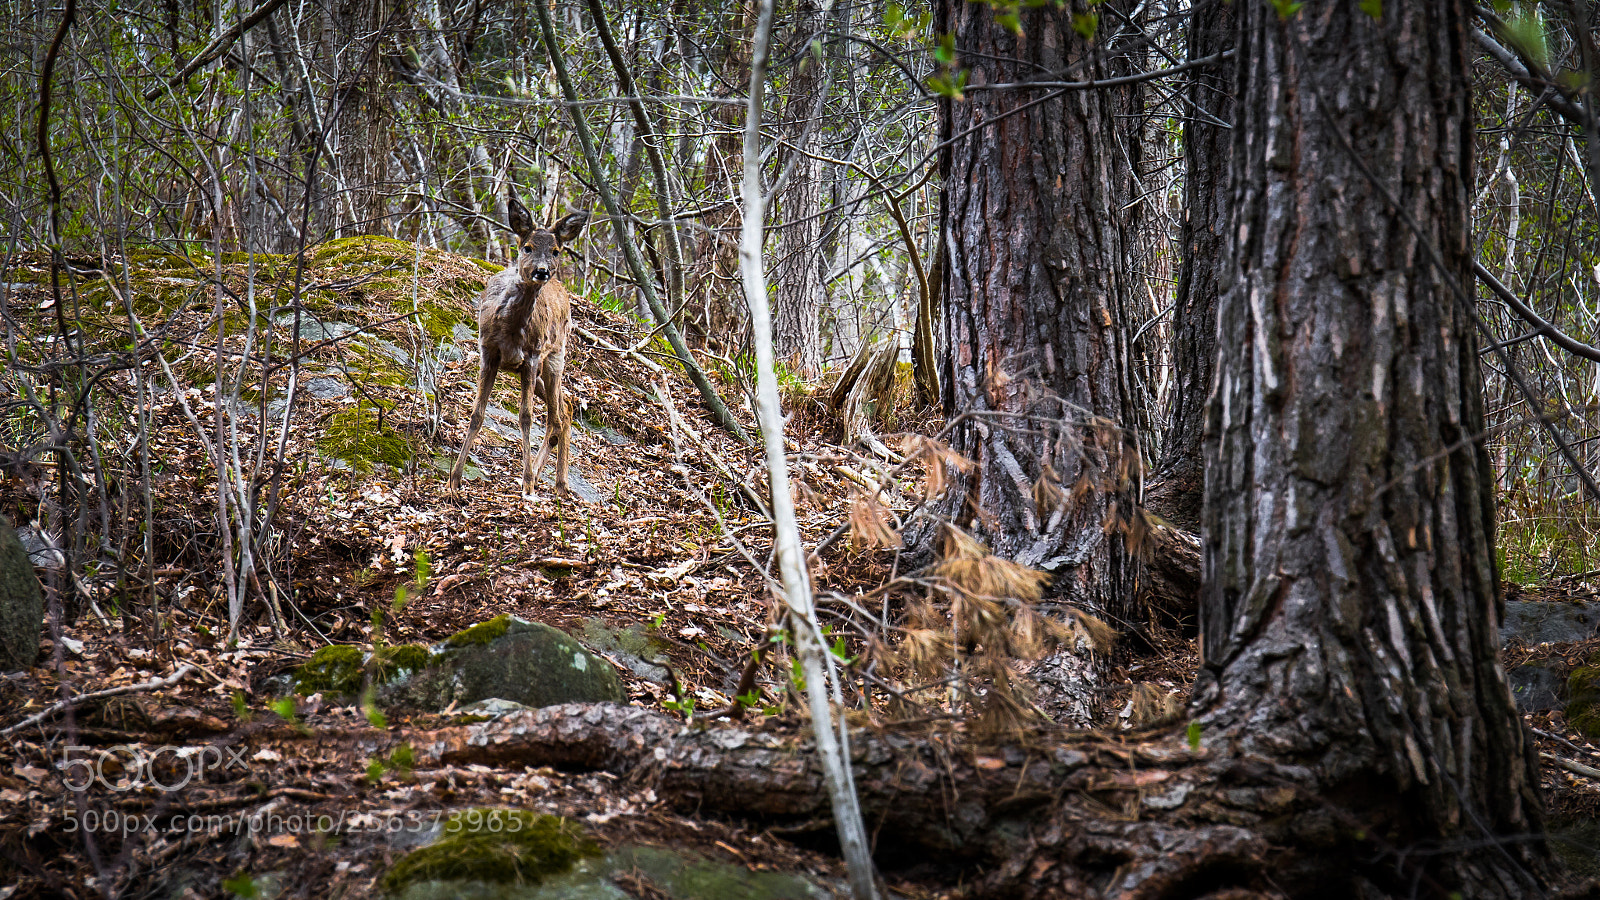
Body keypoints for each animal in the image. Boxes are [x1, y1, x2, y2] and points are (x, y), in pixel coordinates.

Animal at [448, 196, 590, 498]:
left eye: (556, 251)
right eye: (528, 247)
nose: (541, 271)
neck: (510, 329)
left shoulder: (532, 356)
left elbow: (525, 417)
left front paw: (526, 483)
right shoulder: (488, 352)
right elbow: (477, 413)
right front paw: (454, 479)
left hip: (554, 356)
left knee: (557, 416)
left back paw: (547, 479)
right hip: (537, 370)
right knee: (566, 408)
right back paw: (555, 481)